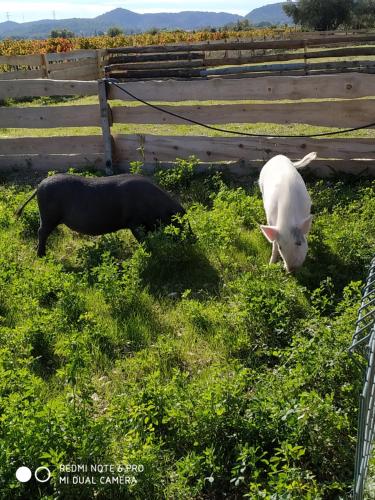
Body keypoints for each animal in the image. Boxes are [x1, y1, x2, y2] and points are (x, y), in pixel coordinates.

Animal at [16, 173, 187, 258]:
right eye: (178, 222)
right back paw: (41, 256)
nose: (191, 239)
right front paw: (149, 251)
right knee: (41, 232)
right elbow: (142, 238)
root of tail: (39, 186)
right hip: (49, 216)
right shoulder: (134, 222)